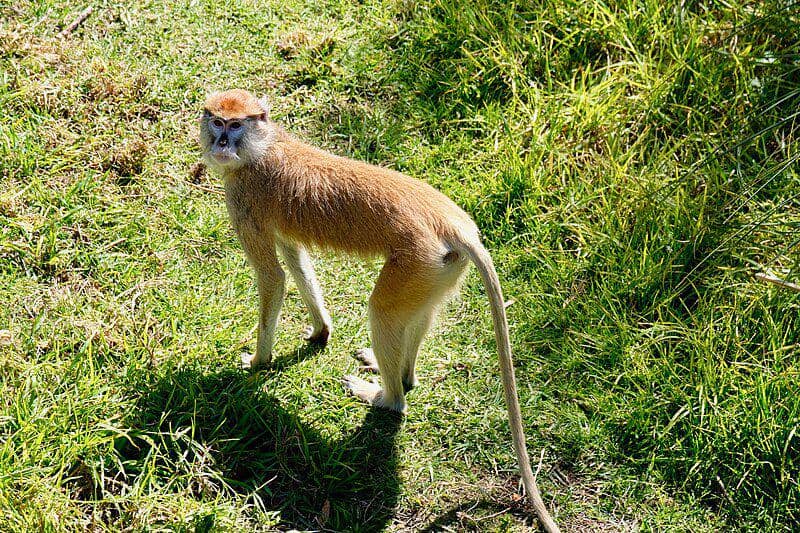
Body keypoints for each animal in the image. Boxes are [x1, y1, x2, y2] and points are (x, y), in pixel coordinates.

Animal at [199, 89, 560, 533]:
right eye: (216, 120)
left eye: (235, 125)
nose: (221, 143)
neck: (264, 145)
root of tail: (453, 222)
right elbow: (294, 259)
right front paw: (320, 331)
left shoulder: (244, 201)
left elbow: (273, 278)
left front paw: (257, 362)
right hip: (438, 268)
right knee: (414, 315)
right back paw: (403, 375)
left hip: (417, 260)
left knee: (383, 311)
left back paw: (387, 397)